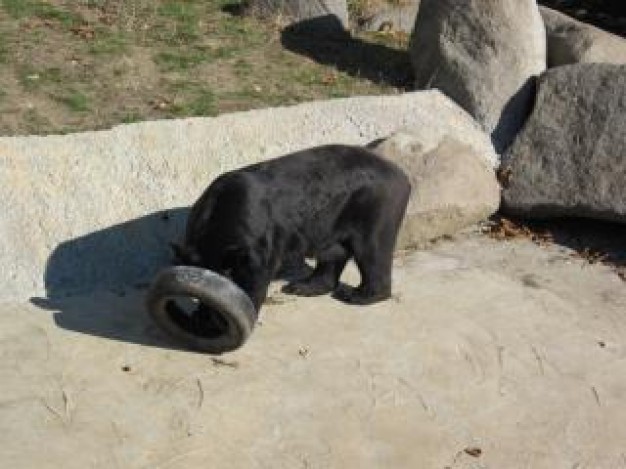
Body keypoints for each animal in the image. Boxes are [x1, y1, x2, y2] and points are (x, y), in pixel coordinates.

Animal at [173, 144, 412, 310]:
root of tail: (401, 174)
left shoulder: (261, 238)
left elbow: (261, 269)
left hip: (376, 207)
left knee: (372, 249)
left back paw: (356, 295)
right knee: (333, 253)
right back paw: (303, 286)